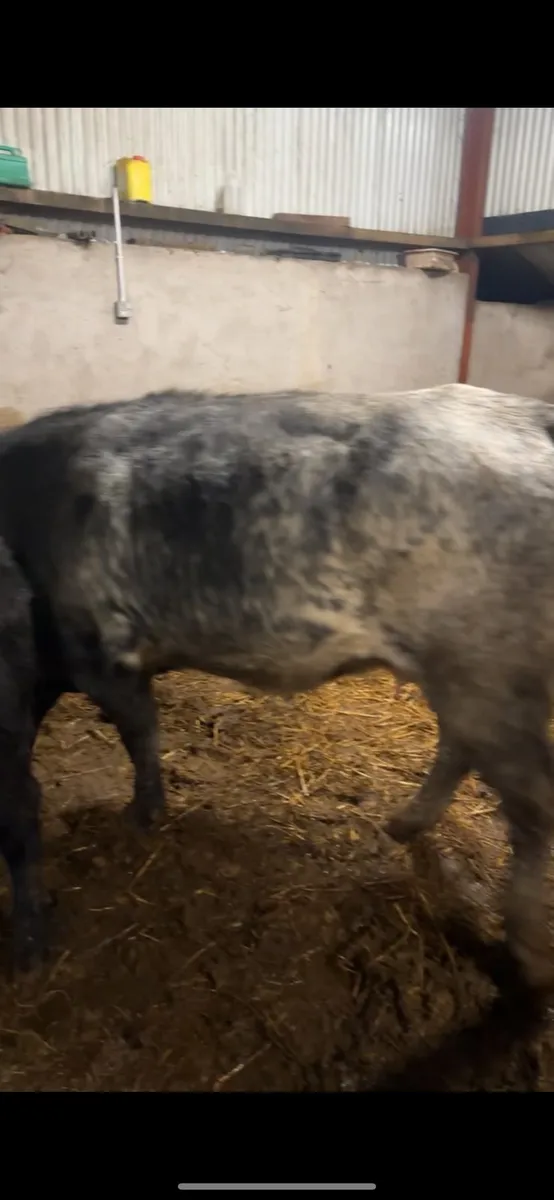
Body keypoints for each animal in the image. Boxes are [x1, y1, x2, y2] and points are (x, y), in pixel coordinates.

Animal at [0, 382, 554, 990]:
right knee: (463, 752)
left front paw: (137, 819)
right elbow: (139, 730)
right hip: (466, 677)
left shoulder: (95, 654)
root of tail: (526, 413)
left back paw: (526, 958)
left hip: (486, 675)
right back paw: (403, 825)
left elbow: (130, 737)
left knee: (533, 804)